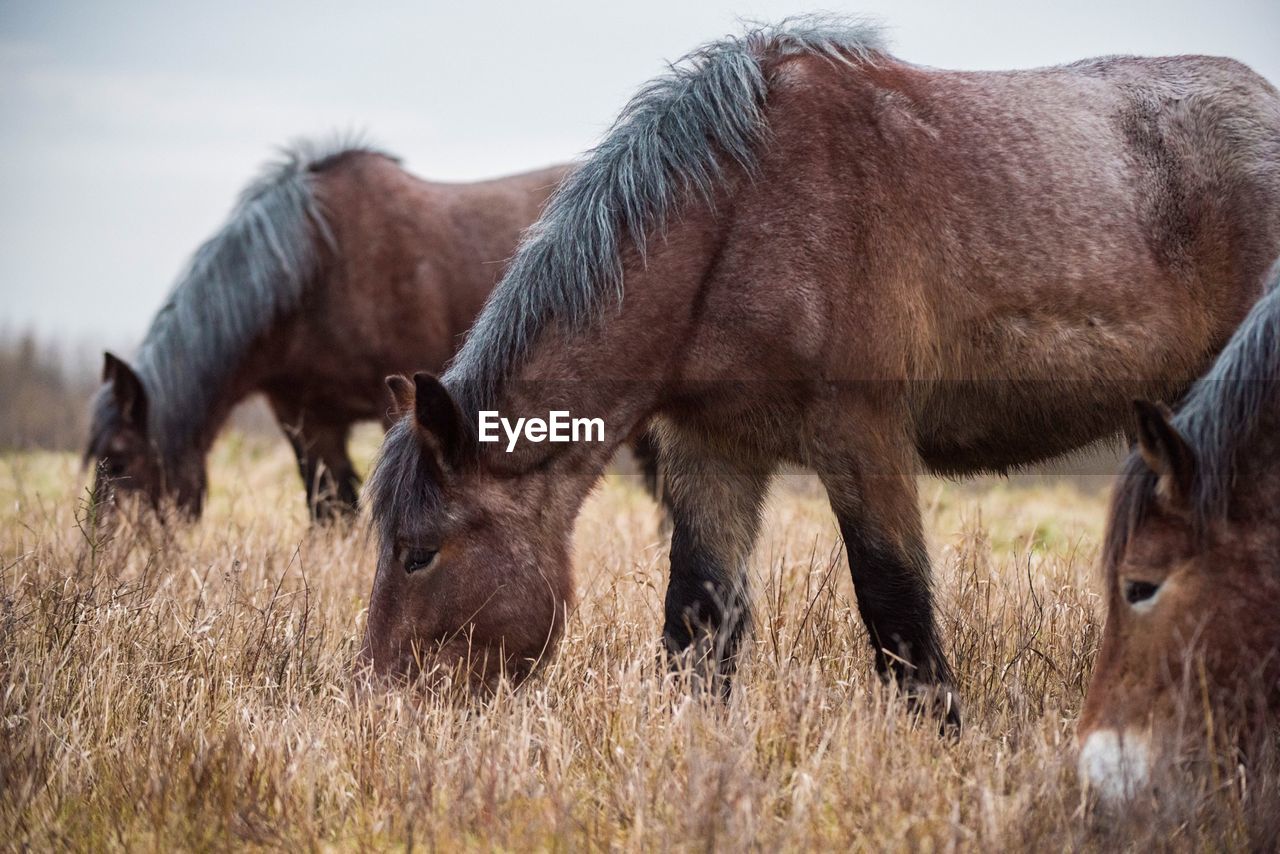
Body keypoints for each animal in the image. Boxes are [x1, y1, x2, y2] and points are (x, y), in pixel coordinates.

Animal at [82, 140, 591, 522]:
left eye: (121, 459)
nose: (103, 556)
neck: (315, 275)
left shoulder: (399, 404)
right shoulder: (308, 423)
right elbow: (330, 510)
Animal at [360, 16, 1280, 727]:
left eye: (418, 553)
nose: (380, 702)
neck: (738, 213)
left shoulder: (862, 439)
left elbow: (895, 612)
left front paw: (941, 746)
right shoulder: (714, 450)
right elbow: (698, 621)